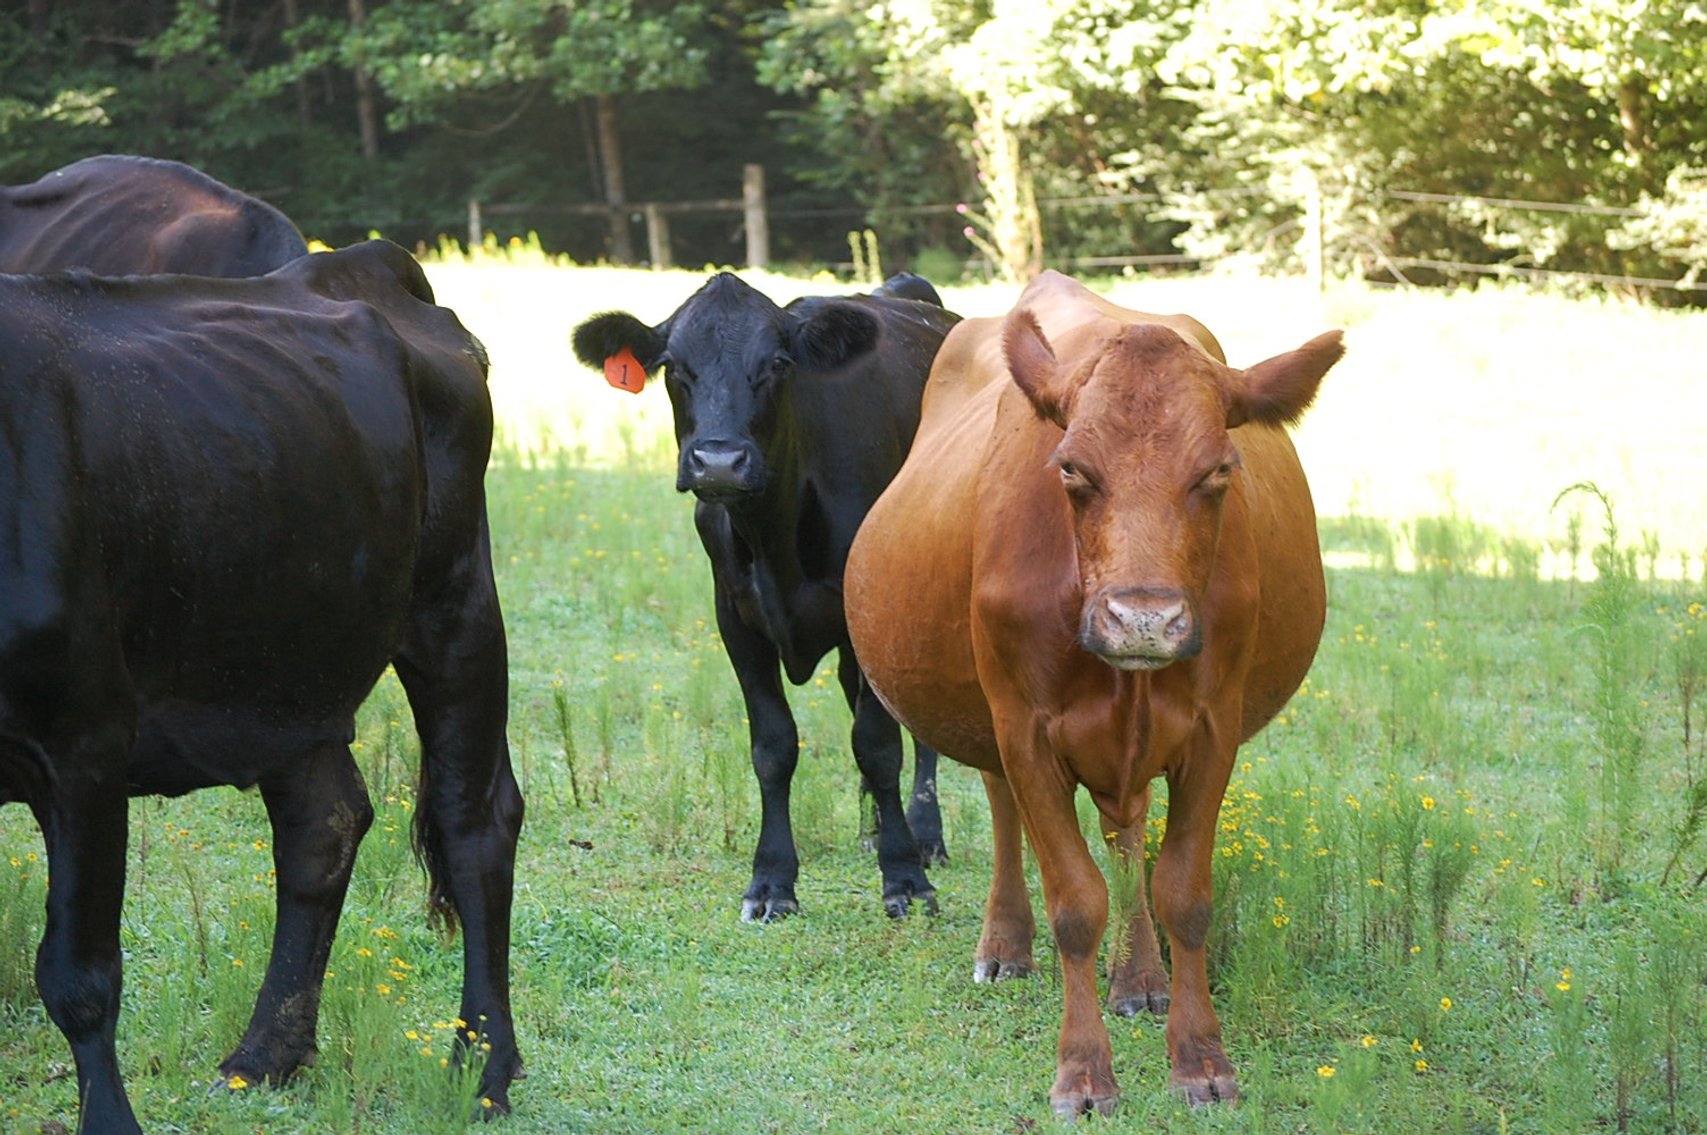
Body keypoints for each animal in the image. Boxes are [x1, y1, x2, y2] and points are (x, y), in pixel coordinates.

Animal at [0, 239, 523, 1135]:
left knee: (475, 822)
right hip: (288, 662)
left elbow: (78, 974)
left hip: (453, 602)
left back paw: (482, 1065)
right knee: (325, 822)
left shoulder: (83, 738)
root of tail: (364, 264)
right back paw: (264, 1054)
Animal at [571, 272, 959, 921]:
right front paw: (772, 881)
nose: (719, 462)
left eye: (778, 363)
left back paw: (924, 833)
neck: (774, 530)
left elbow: (878, 744)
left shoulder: (863, 607)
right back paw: (875, 828)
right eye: (674, 366)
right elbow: (774, 745)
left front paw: (905, 877)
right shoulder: (735, 617)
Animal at [845, 270, 1342, 1113]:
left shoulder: (1212, 728)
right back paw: (1004, 944)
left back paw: (1138, 975)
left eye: (1218, 471)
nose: (1143, 619)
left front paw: (1199, 1059)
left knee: (1126, 829)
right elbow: (1074, 902)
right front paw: (1081, 1071)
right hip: (989, 714)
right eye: (1072, 469)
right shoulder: (1023, 727)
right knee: (1006, 810)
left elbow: (1182, 892)